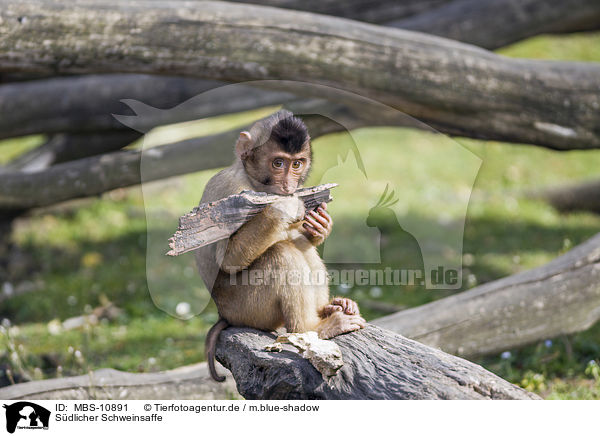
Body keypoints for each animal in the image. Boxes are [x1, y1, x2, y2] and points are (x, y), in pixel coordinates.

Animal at [197, 110, 366, 382]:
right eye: (278, 163)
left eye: (296, 164)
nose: (288, 186)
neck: (252, 181)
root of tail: (224, 315)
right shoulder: (231, 191)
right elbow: (228, 260)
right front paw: (283, 207)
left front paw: (321, 226)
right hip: (248, 309)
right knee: (282, 252)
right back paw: (312, 328)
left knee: (297, 244)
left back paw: (329, 309)